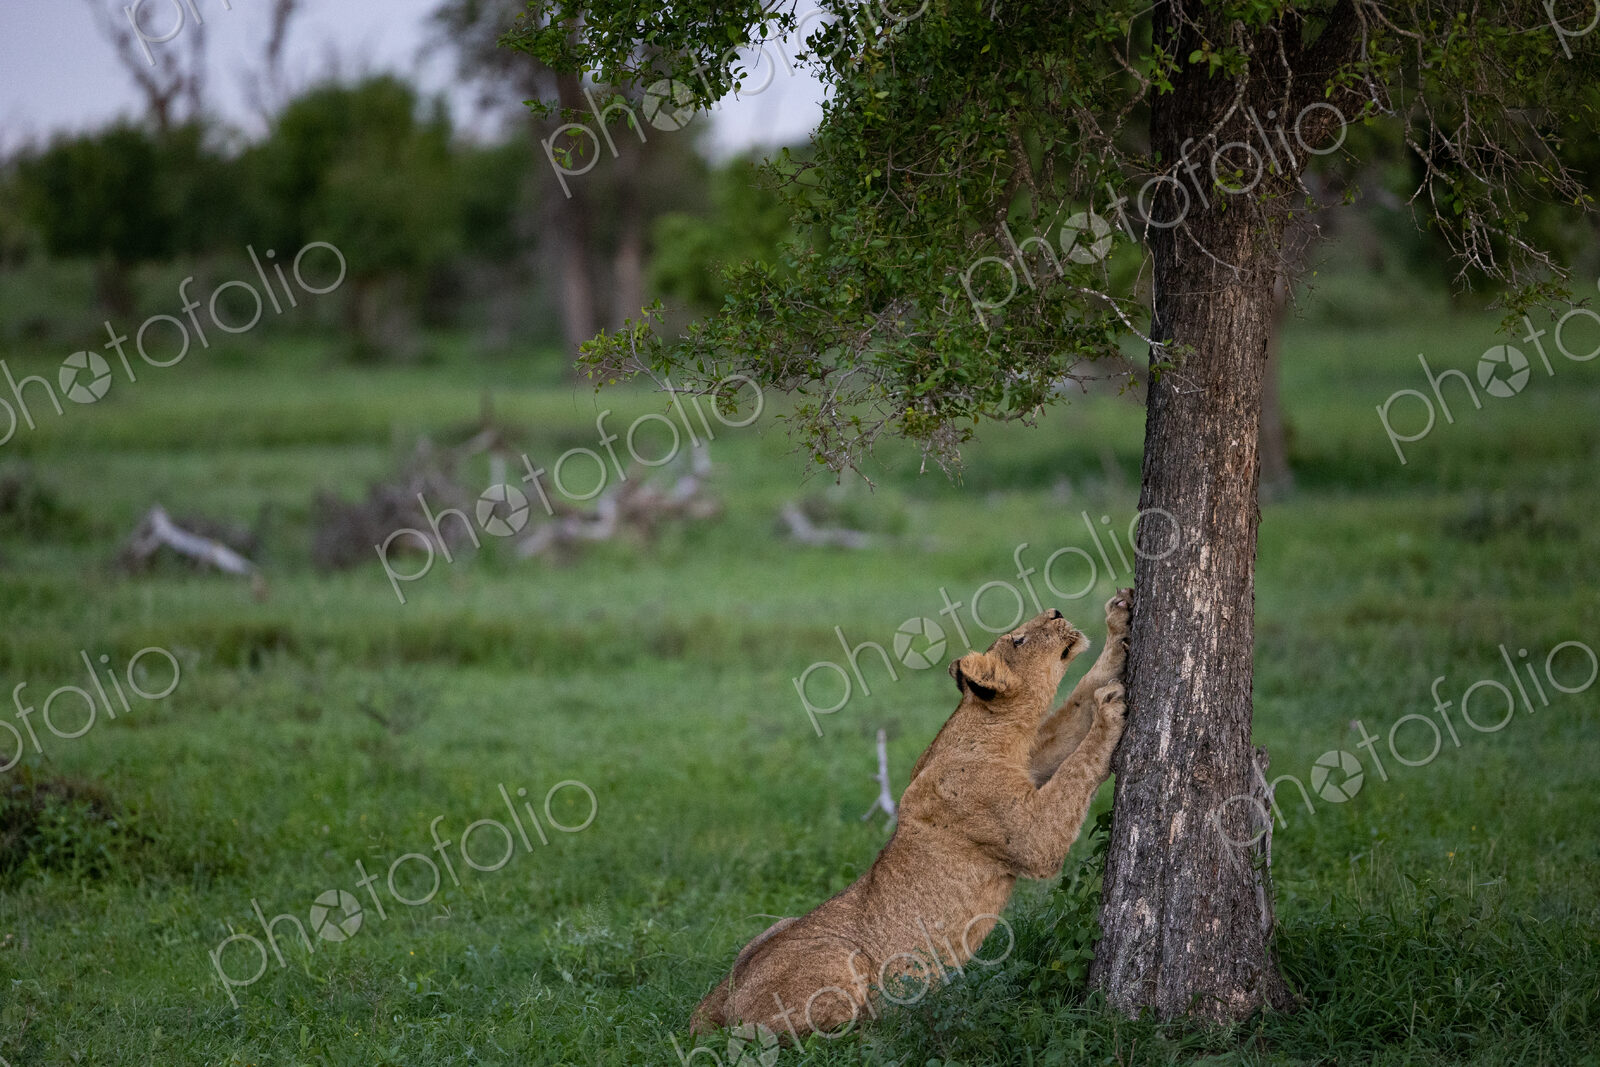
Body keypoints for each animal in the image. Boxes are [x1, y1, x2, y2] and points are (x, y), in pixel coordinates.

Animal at [690, 591, 1132, 1043]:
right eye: (1020, 640)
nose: (1056, 611)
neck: (990, 733)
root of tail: (715, 1007)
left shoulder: (1036, 758)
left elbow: (1075, 706)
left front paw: (1119, 621)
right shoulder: (1033, 838)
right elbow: (1077, 767)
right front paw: (1109, 712)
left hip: (776, 925)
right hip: (842, 961)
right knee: (790, 1036)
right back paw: (893, 1018)